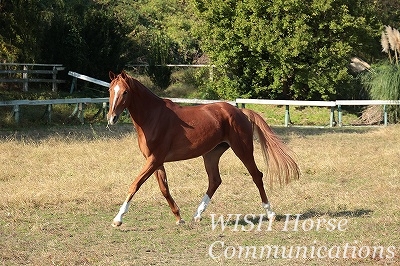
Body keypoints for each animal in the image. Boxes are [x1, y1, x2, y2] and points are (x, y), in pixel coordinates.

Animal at [107, 70, 300, 227]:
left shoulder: (154, 159)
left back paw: (270, 213)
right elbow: (164, 189)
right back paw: (197, 215)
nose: (111, 118)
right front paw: (179, 218)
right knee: (215, 181)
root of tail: (240, 112)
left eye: (125, 92)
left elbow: (135, 185)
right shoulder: (156, 161)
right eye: (110, 90)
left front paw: (118, 219)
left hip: (243, 150)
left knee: (256, 176)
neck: (153, 116)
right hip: (211, 155)